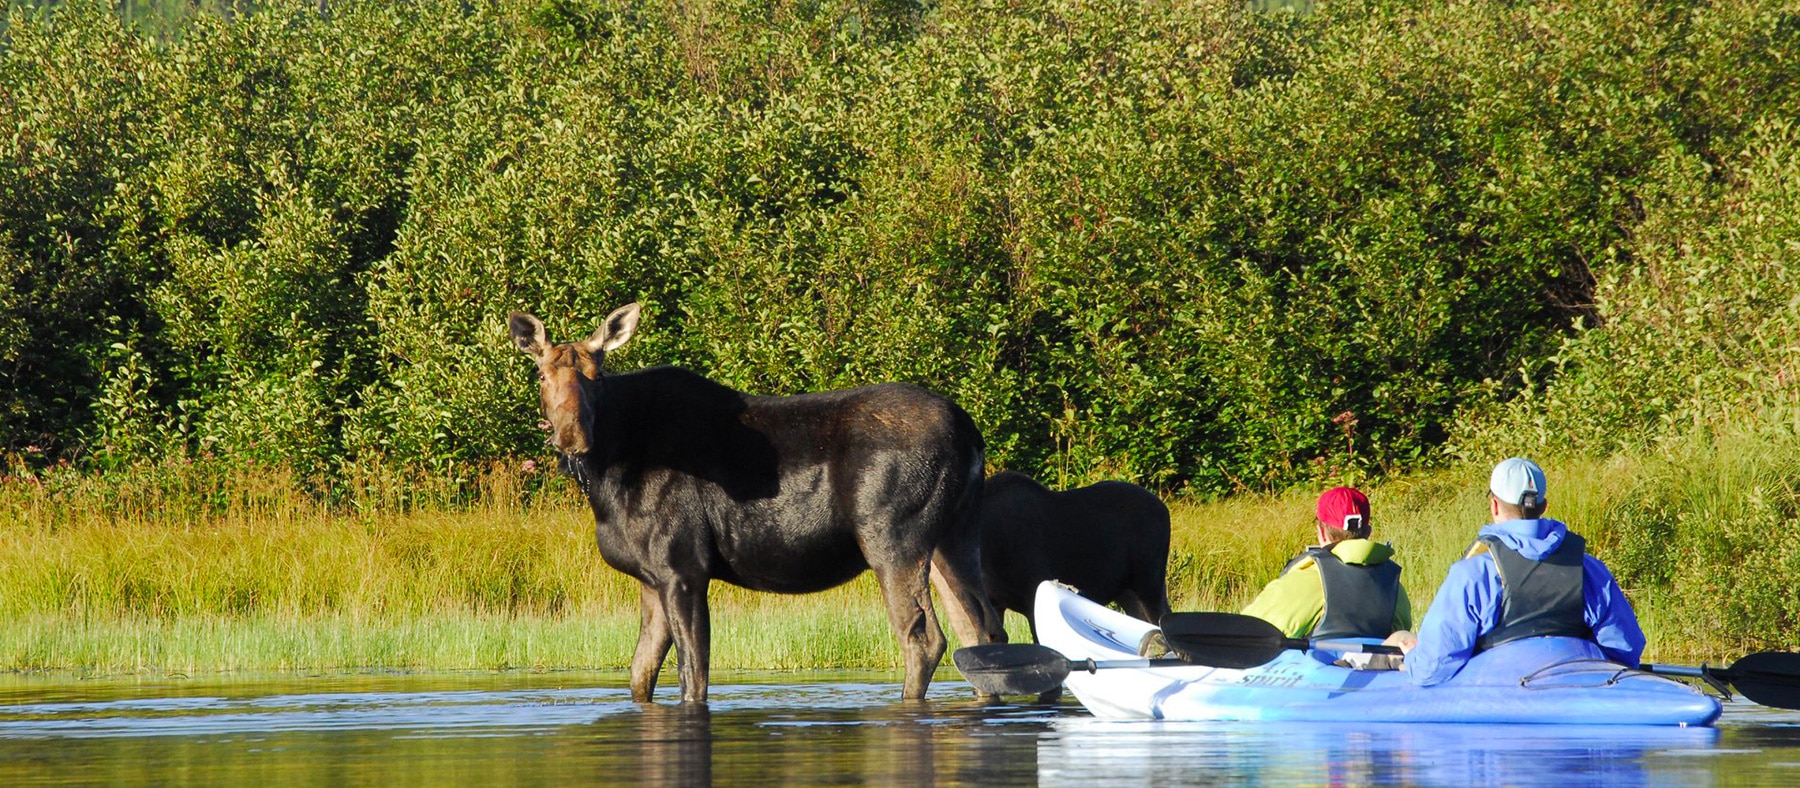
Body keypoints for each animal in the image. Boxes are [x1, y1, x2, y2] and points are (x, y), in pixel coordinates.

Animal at [514, 304, 1008, 701]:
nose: (573, 437)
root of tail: (971, 434)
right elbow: (640, 675)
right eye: (541, 374)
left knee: (924, 638)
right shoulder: (650, 576)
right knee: (981, 629)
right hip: (953, 535)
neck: (606, 479)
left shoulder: (682, 567)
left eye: (598, 378)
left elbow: (693, 675)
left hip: (893, 537)